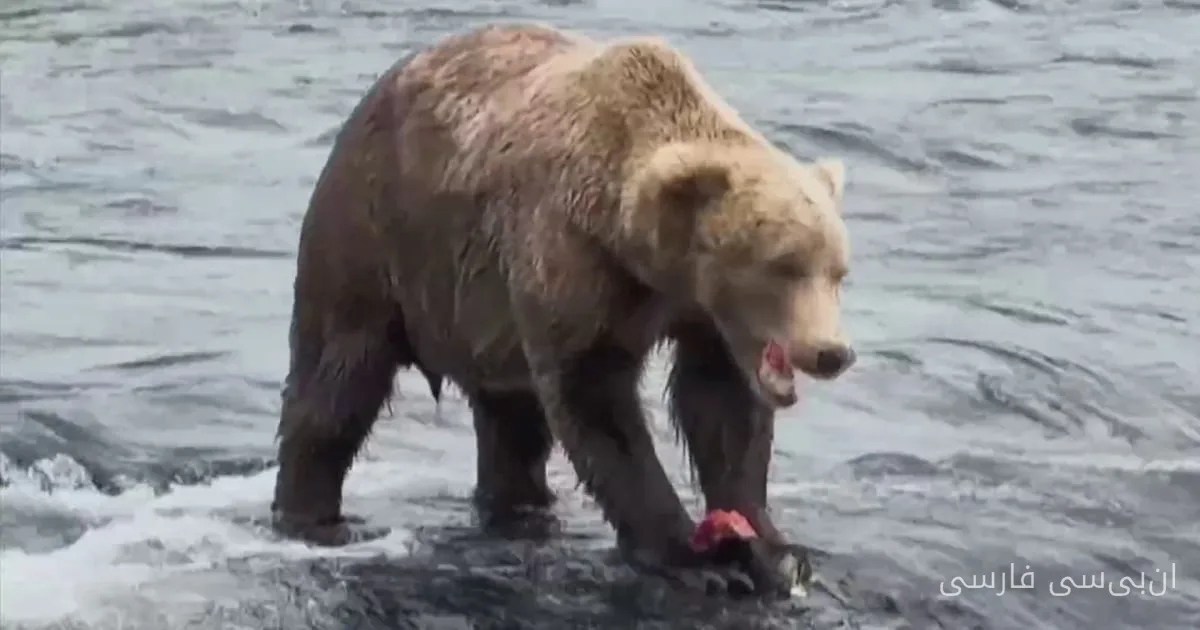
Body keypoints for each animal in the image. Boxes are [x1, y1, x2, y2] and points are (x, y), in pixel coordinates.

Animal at [270, 23, 855, 598]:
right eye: (782, 264)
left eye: (837, 271)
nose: (832, 353)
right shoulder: (572, 260)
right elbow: (597, 401)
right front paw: (690, 557)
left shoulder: (703, 318)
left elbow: (722, 408)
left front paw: (774, 550)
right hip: (372, 245)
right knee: (336, 385)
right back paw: (309, 515)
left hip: (483, 321)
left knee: (512, 426)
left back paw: (520, 506)